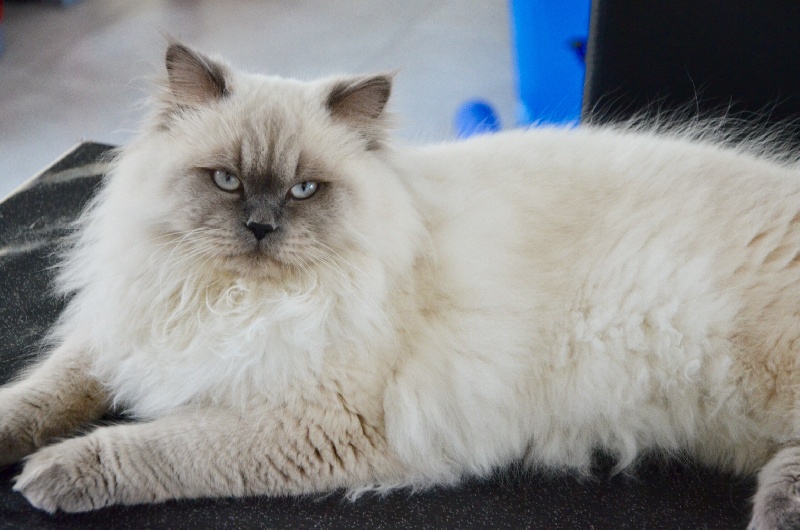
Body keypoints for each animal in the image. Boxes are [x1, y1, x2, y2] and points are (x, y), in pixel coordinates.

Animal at [1, 42, 800, 528]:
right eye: (226, 181)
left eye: (303, 190)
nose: (260, 227)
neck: (229, 296)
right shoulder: (127, 331)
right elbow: (42, 394)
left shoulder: (312, 422)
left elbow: (155, 445)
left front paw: (53, 475)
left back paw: (774, 515)